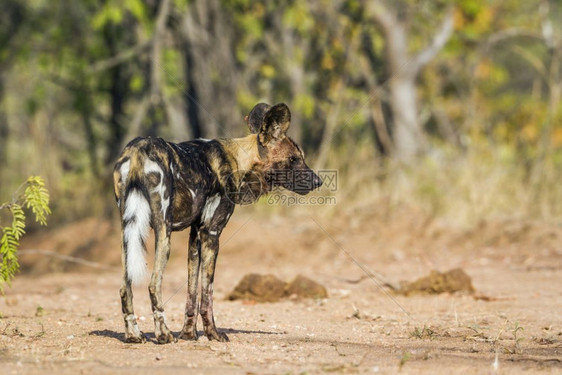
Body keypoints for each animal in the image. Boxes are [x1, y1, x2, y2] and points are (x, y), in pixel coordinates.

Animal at [112, 102, 320, 344]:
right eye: (294, 158)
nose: (318, 181)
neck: (240, 160)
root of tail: (138, 149)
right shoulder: (211, 233)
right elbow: (207, 294)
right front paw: (213, 333)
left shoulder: (195, 236)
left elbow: (192, 293)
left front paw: (188, 334)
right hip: (163, 234)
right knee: (154, 284)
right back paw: (164, 334)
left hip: (127, 234)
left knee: (125, 288)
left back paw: (134, 335)